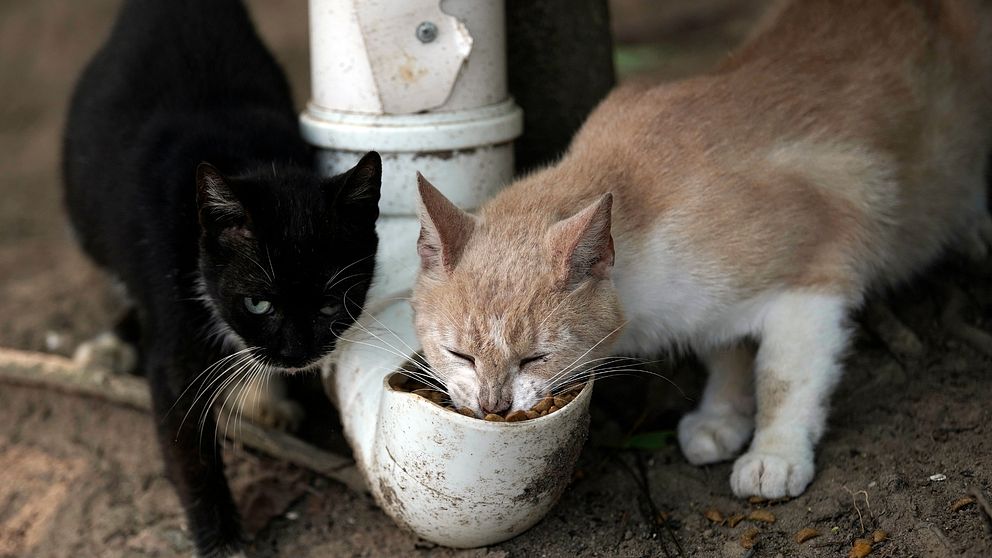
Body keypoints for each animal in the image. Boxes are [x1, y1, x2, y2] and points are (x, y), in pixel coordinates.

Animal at [62, 0, 380, 556]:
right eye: (258, 304)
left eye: (330, 303)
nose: (298, 355)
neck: (248, 161)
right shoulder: (171, 331)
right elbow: (188, 445)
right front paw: (222, 539)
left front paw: (265, 395)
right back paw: (110, 345)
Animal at [406, 0, 988, 498]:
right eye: (459, 354)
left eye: (535, 358)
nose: (493, 406)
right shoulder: (708, 303)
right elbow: (724, 346)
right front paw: (721, 416)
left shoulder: (817, 278)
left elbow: (783, 376)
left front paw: (774, 454)